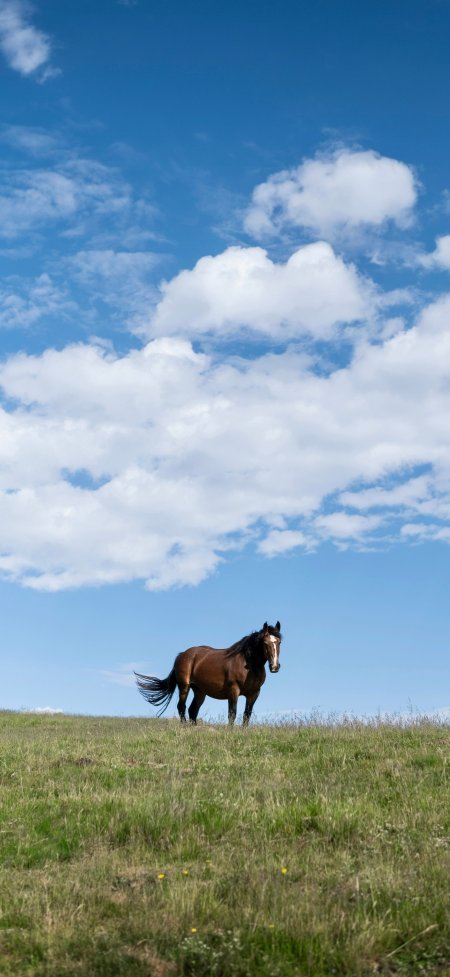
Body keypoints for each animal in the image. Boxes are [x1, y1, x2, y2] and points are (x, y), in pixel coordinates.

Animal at [135, 621, 282, 726]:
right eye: (265, 642)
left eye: (279, 642)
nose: (274, 666)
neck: (249, 664)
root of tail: (182, 654)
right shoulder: (233, 691)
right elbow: (232, 713)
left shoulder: (254, 693)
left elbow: (247, 715)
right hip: (184, 687)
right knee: (182, 707)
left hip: (200, 691)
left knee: (193, 710)